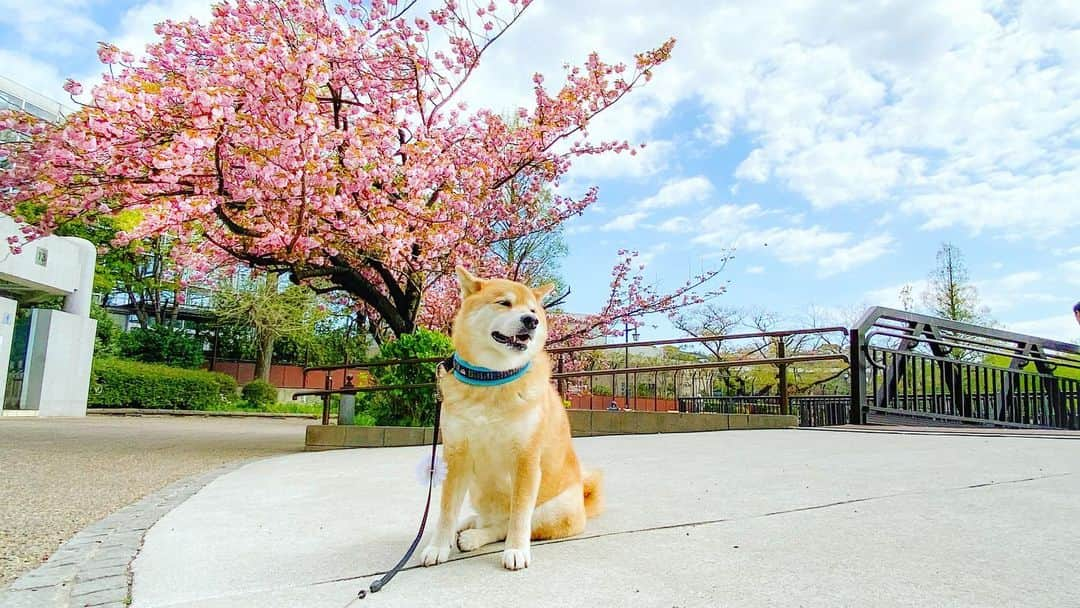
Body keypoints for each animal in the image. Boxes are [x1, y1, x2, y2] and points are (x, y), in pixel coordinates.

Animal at [419, 266, 604, 570]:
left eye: (533, 310)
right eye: (504, 303)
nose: (531, 321)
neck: (492, 378)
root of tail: (582, 504)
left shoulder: (526, 459)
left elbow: (518, 516)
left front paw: (516, 550)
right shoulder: (456, 457)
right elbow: (446, 509)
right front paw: (437, 546)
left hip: (551, 510)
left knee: (504, 525)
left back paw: (473, 537)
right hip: (476, 487)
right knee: (487, 518)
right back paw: (468, 524)